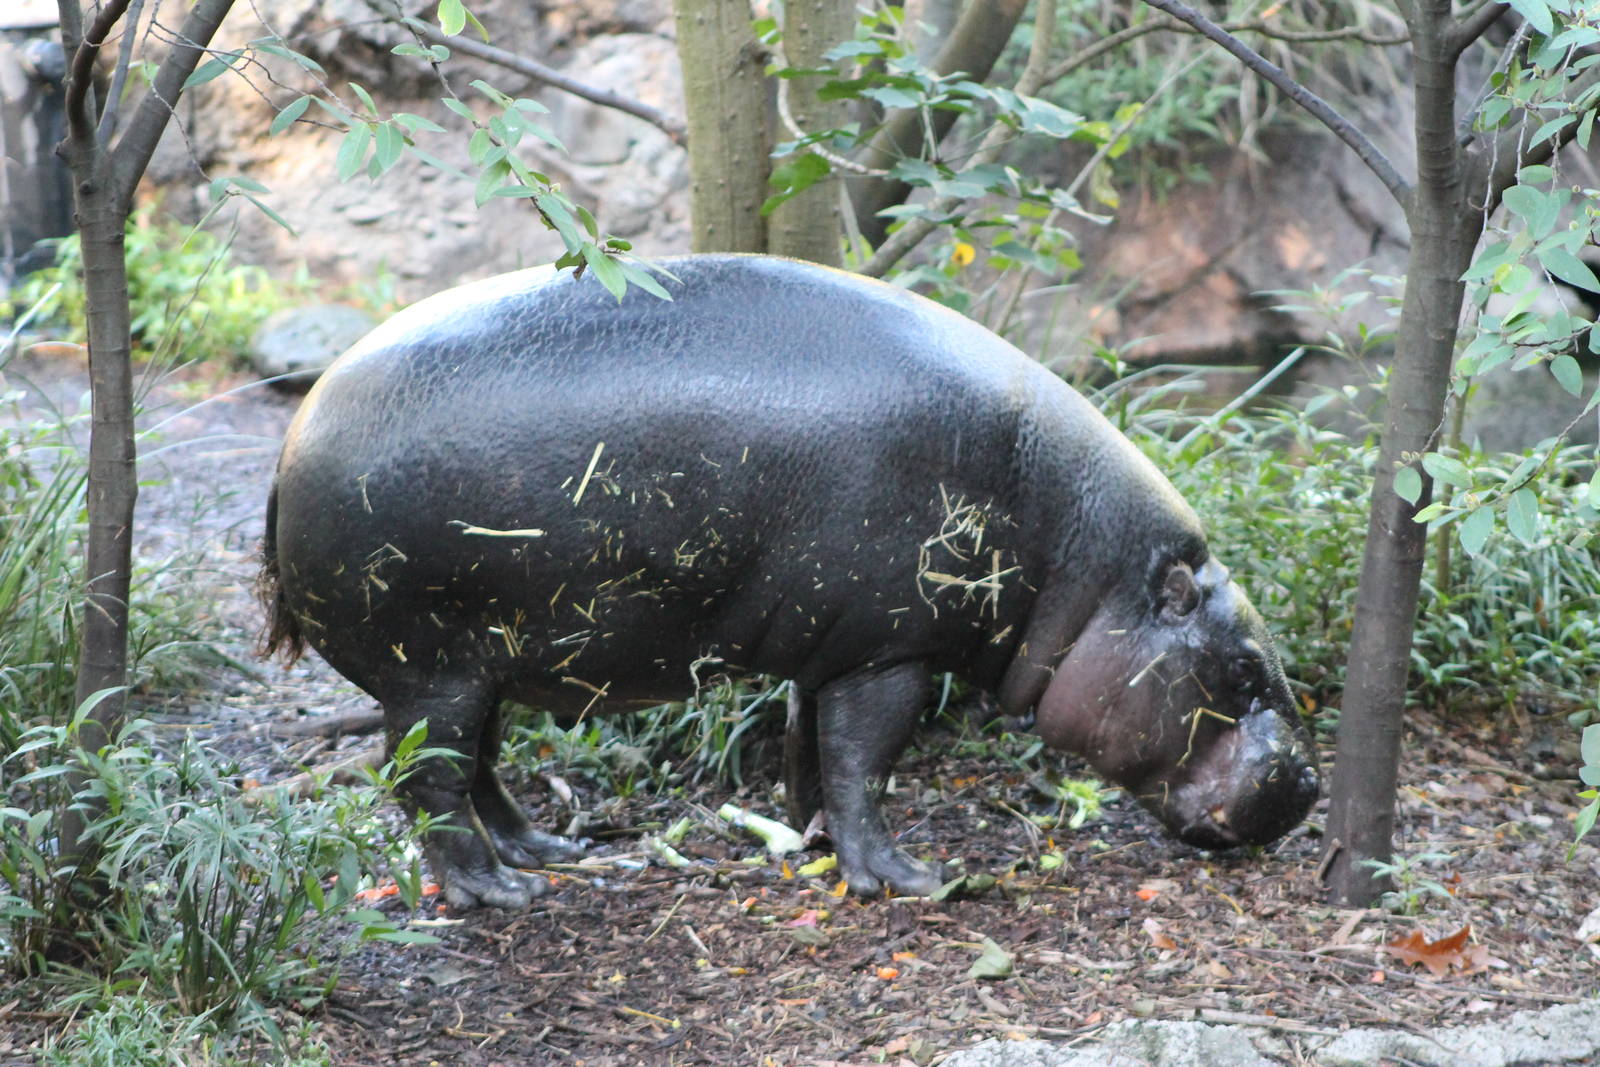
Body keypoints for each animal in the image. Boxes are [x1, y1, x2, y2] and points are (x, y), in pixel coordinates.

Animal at [259, 254, 1319, 909]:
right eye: (1244, 672)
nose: (1308, 784)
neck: (1086, 568)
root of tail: (293, 432)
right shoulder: (892, 648)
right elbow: (867, 760)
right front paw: (906, 877)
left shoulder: (832, 641)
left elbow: (815, 749)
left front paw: (810, 839)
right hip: (428, 665)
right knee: (429, 778)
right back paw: (499, 893)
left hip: (480, 664)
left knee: (477, 765)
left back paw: (547, 852)